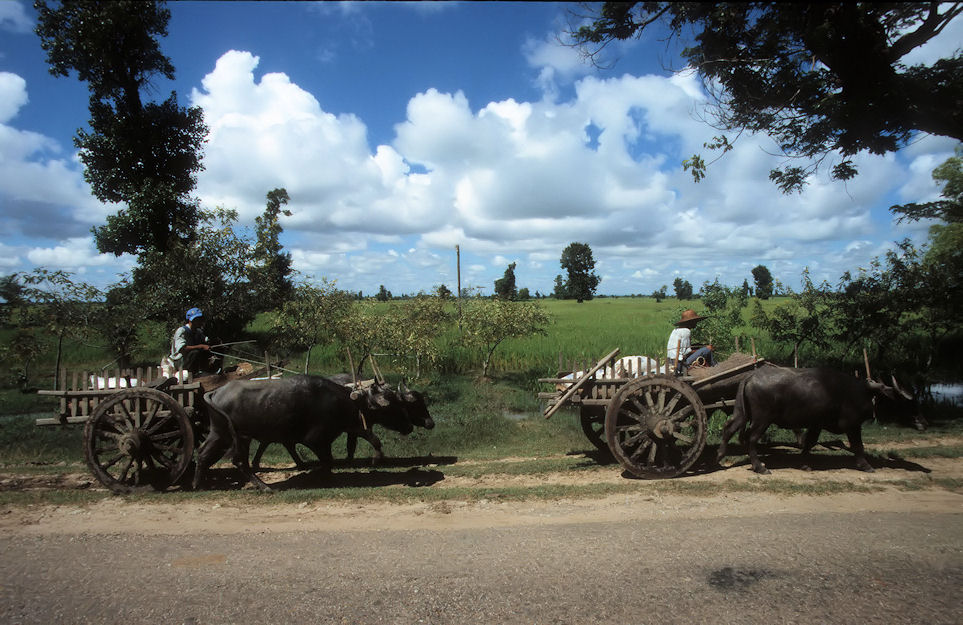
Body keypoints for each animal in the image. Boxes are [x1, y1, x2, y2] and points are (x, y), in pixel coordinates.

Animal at [198, 372, 416, 490]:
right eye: (392, 405)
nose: (409, 426)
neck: (342, 401)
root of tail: (216, 392)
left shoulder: (346, 430)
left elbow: (366, 442)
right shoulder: (315, 440)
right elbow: (328, 461)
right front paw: (319, 476)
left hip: (221, 434)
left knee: (204, 454)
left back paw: (198, 484)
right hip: (237, 436)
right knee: (238, 460)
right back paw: (264, 487)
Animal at [720, 366, 924, 472]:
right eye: (904, 401)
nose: (924, 422)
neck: (862, 393)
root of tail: (751, 376)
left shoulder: (816, 424)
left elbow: (809, 442)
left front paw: (804, 463)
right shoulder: (852, 425)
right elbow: (858, 446)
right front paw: (866, 465)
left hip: (742, 413)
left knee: (729, 428)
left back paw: (720, 455)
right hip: (762, 419)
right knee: (751, 438)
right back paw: (760, 467)